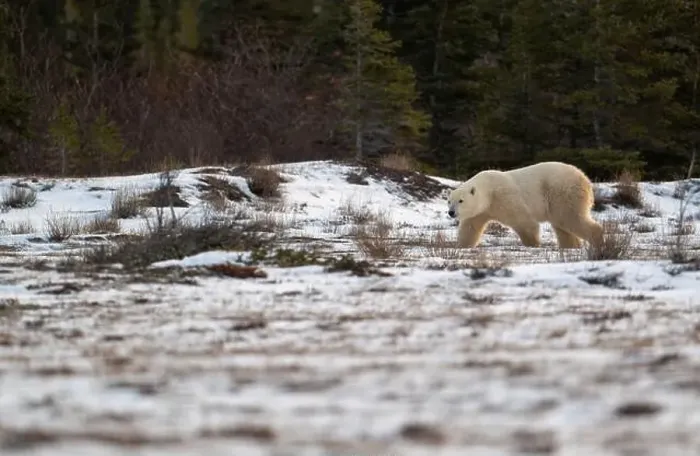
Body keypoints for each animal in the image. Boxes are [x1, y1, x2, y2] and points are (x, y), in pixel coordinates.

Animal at [447, 161, 604, 249]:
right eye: (449, 201)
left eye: (461, 200)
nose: (451, 212)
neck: (489, 190)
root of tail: (585, 179)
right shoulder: (481, 211)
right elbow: (470, 228)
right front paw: (461, 246)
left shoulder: (504, 197)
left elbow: (524, 221)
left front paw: (533, 244)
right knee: (562, 225)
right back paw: (570, 247)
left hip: (563, 193)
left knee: (570, 218)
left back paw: (596, 240)